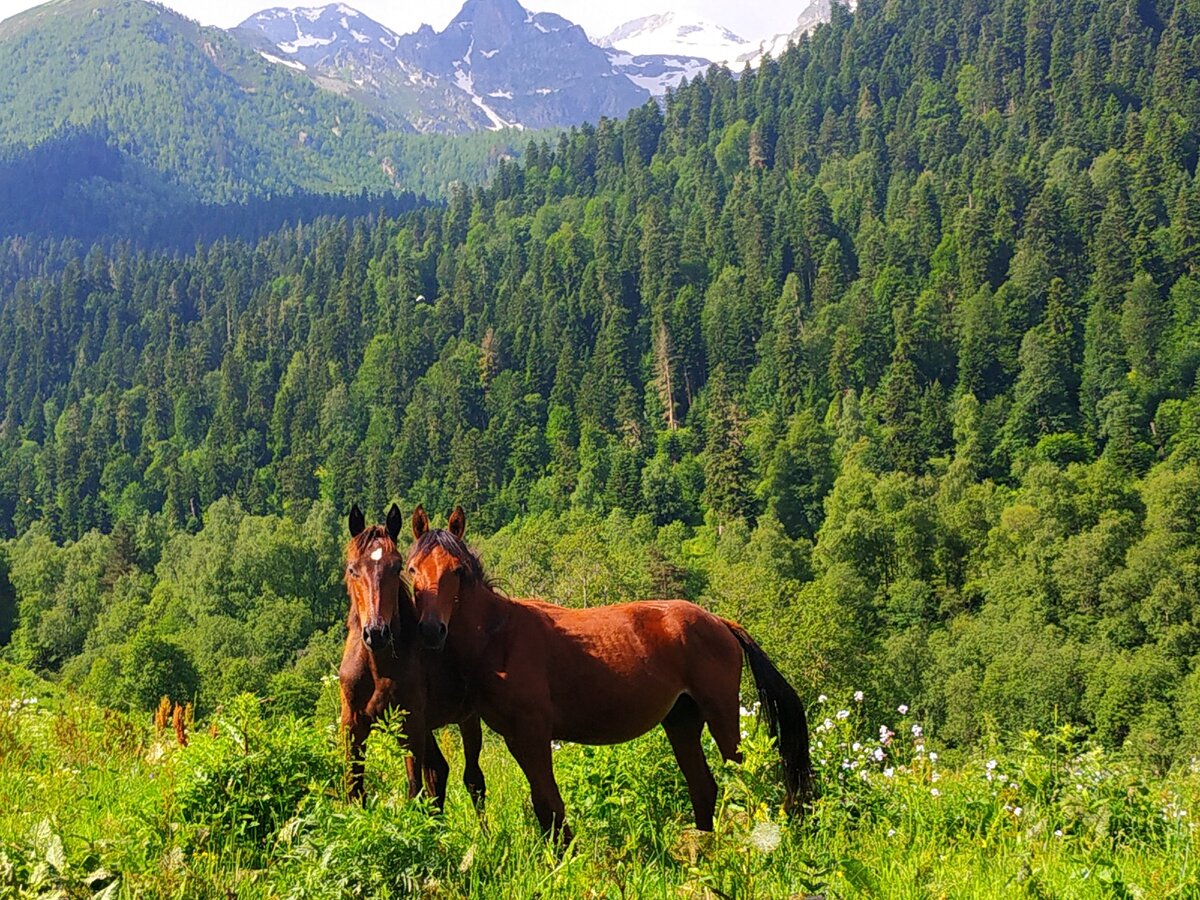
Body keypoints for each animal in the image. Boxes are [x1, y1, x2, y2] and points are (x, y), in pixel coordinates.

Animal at [336, 508, 484, 811]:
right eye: (352, 569)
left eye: (396, 567)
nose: (376, 633)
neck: (377, 668)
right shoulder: (352, 725)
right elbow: (354, 791)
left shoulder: (410, 727)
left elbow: (414, 789)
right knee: (438, 772)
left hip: (466, 718)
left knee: (473, 780)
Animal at [405, 508, 816, 844]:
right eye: (411, 569)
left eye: (457, 571)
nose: (430, 630)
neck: (499, 635)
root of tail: (719, 622)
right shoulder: (515, 737)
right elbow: (543, 807)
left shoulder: (533, 733)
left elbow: (550, 806)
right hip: (682, 721)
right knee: (704, 788)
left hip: (722, 717)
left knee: (743, 781)